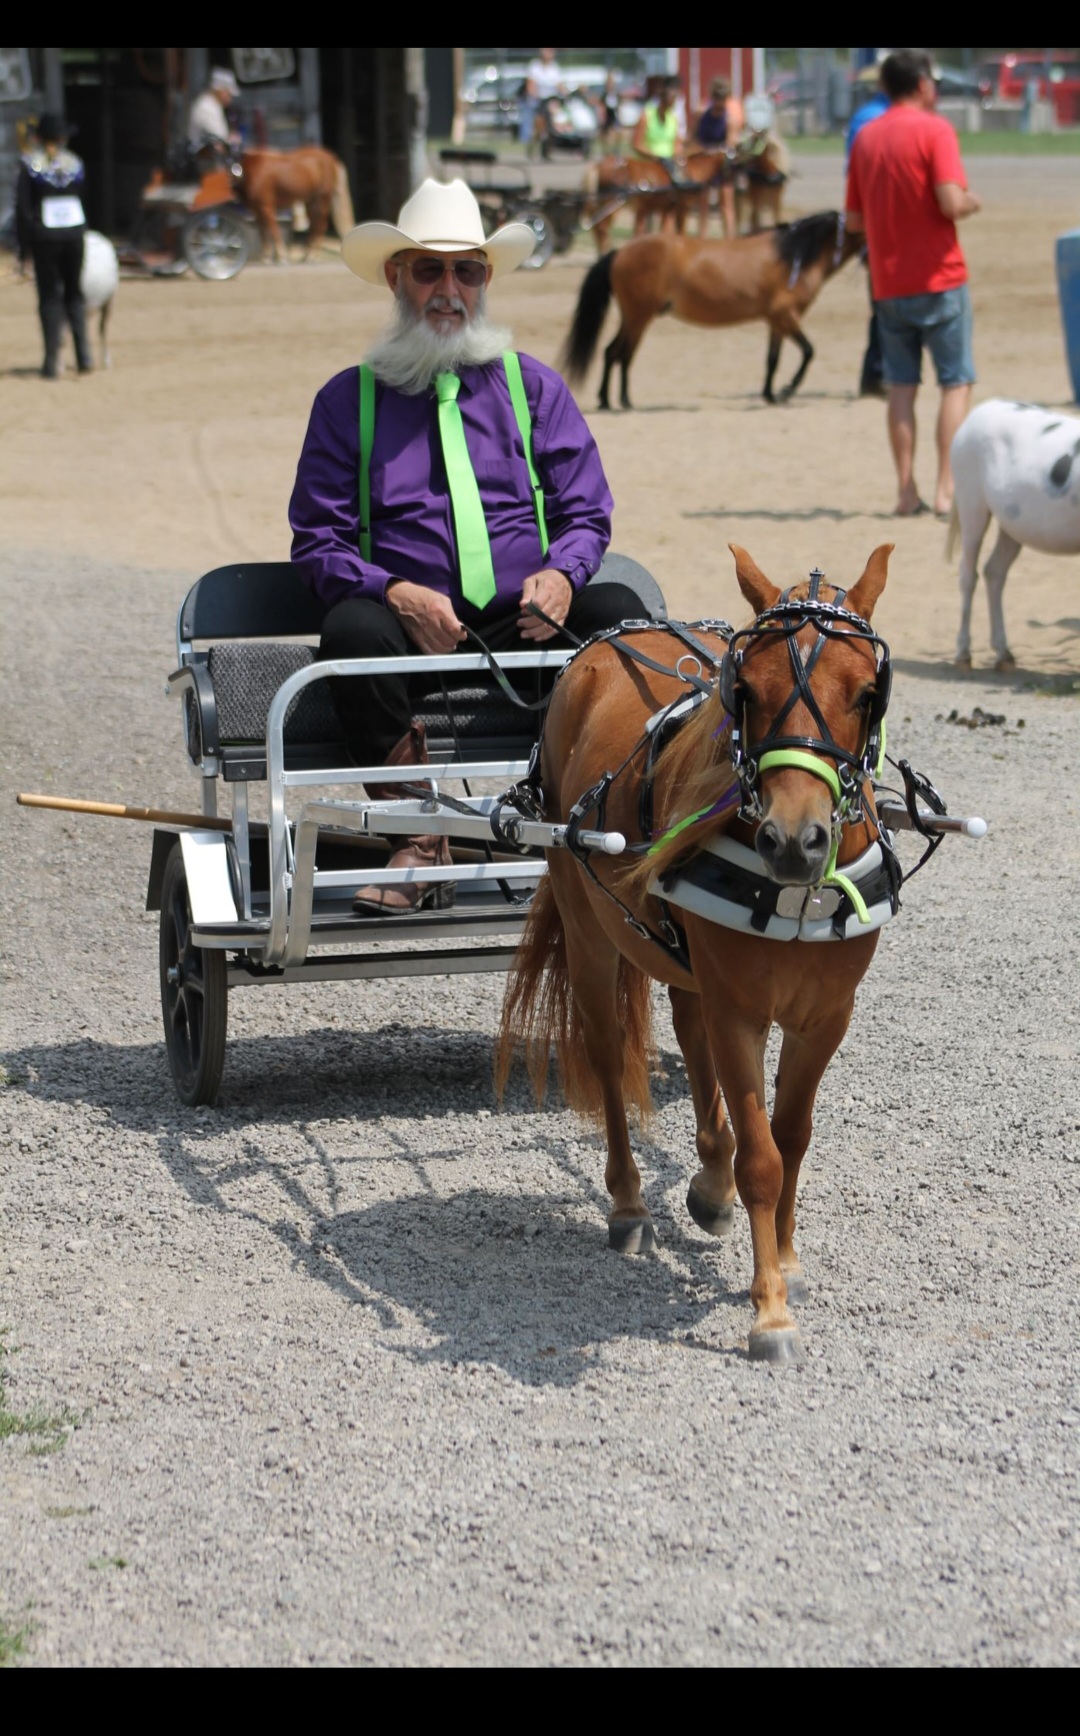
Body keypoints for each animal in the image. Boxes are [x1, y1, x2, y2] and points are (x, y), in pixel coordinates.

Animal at [496, 544, 895, 1363]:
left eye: (866, 692)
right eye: (746, 690)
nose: (794, 840)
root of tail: (613, 640)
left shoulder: (826, 1017)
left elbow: (792, 1138)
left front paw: (786, 1260)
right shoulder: (741, 1009)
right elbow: (763, 1157)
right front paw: (770, 1312)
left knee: (688, 1031)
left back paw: (709, 1186)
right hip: (588, 929)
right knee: (610, 1053)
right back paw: (629, 1205)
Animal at [561, 210, 861, 410]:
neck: (793, 257)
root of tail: (619, 252)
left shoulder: (775, 321)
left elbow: (772, 360)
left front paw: (770, 395)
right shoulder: (786, 316)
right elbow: (809, 351)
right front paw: (787, 391)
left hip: (632, 317)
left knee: (612, 352)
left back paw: (607, 400)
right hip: (638, 317)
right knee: (621, 353)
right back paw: (622, 401)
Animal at [947, 397, 1080, 669]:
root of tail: (982, 408)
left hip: (1012, 525)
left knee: (994, 572)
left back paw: (1003, 654)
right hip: (971, 504)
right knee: (968, 576)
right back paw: (963, 653)